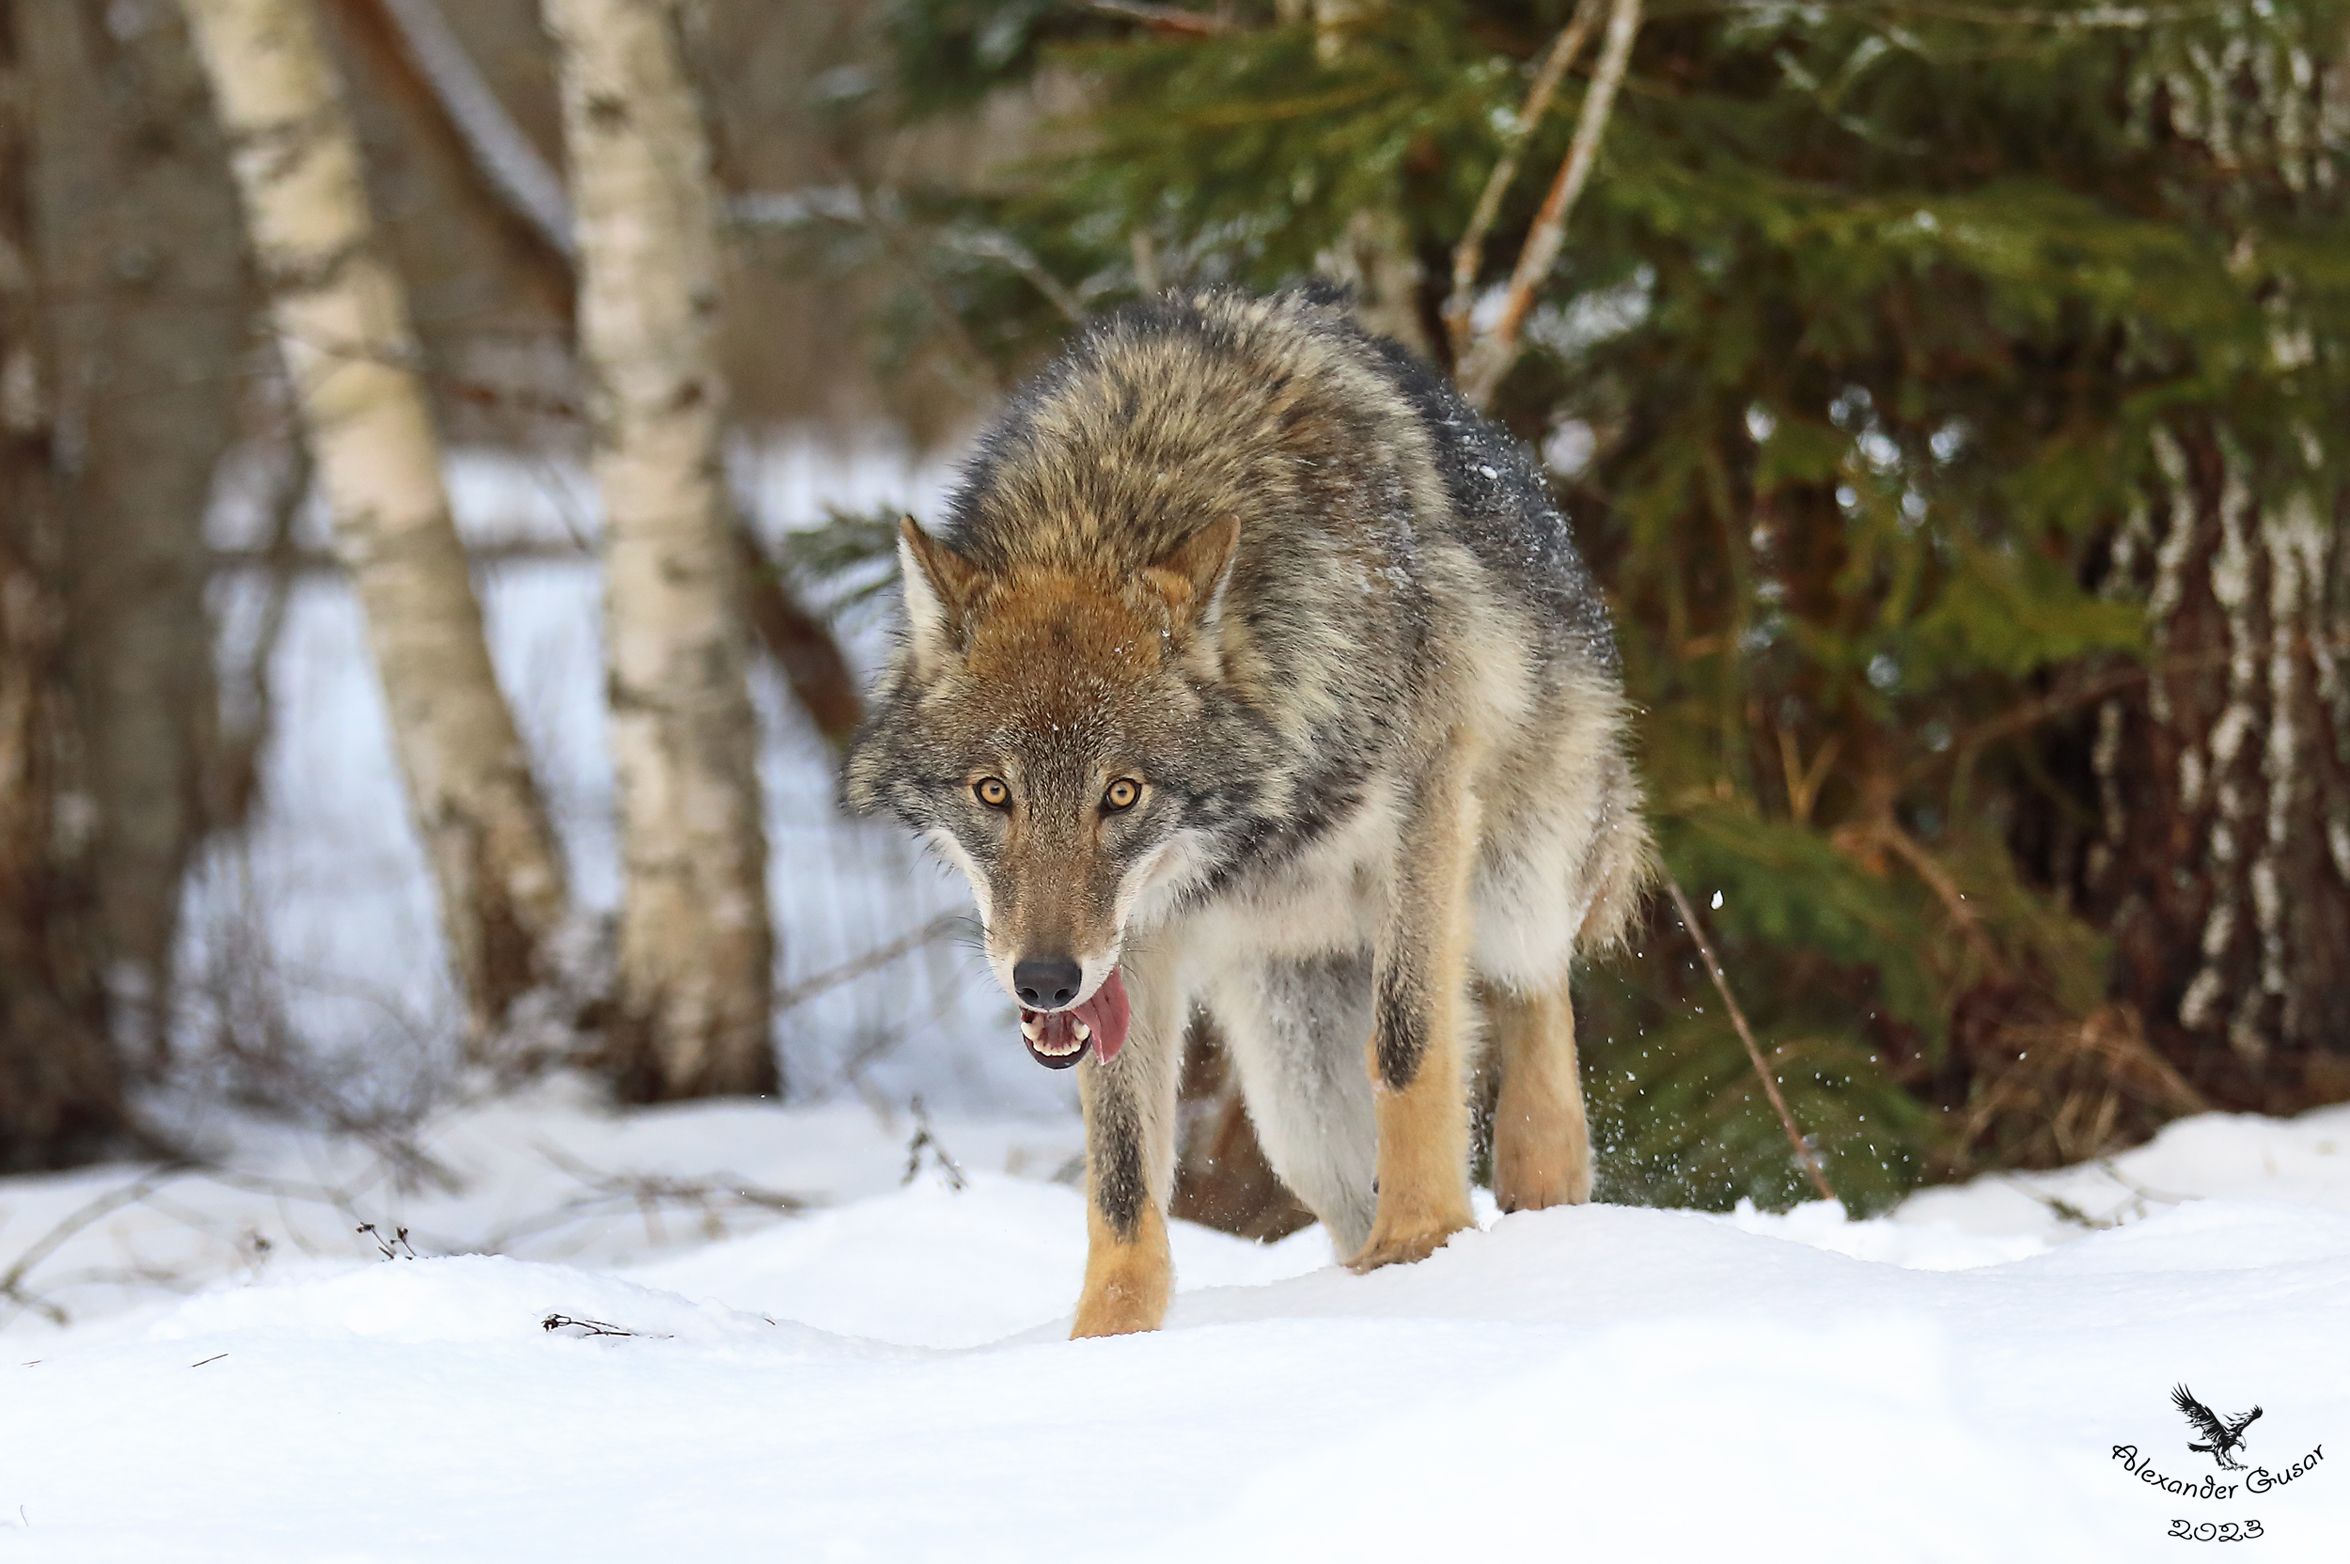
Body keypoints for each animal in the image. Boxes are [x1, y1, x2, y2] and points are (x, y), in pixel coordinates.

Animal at [850, 288, 1654, 1324]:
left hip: (1509, 882)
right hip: (1291, 1090)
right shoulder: (1133, 946)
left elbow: (1410, 1047)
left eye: (1122, 794)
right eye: (995, 793)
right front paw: (1107, 1337)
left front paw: (1423, 1245)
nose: (1044, 982)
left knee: (1535, 993)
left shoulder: (1424, 813)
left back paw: (1541, 1202)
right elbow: (1120, 1172)